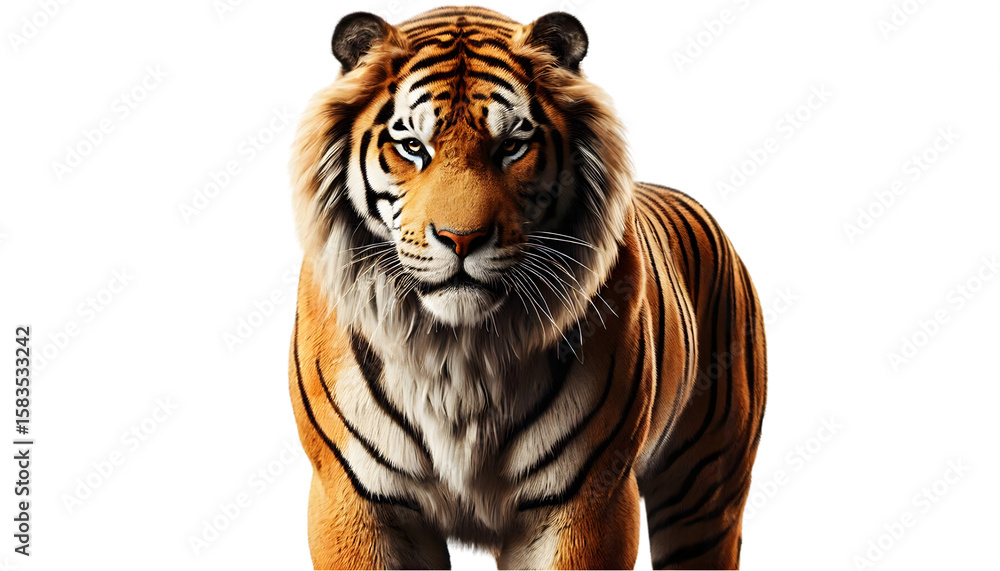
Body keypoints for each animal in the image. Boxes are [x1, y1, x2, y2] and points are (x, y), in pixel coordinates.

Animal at [288, 6, 766, 570]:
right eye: (412, 147)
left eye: (511, 146)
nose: (462, 239)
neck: (459, 352)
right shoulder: (359, 498)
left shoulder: (584, 501)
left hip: (704, 491)